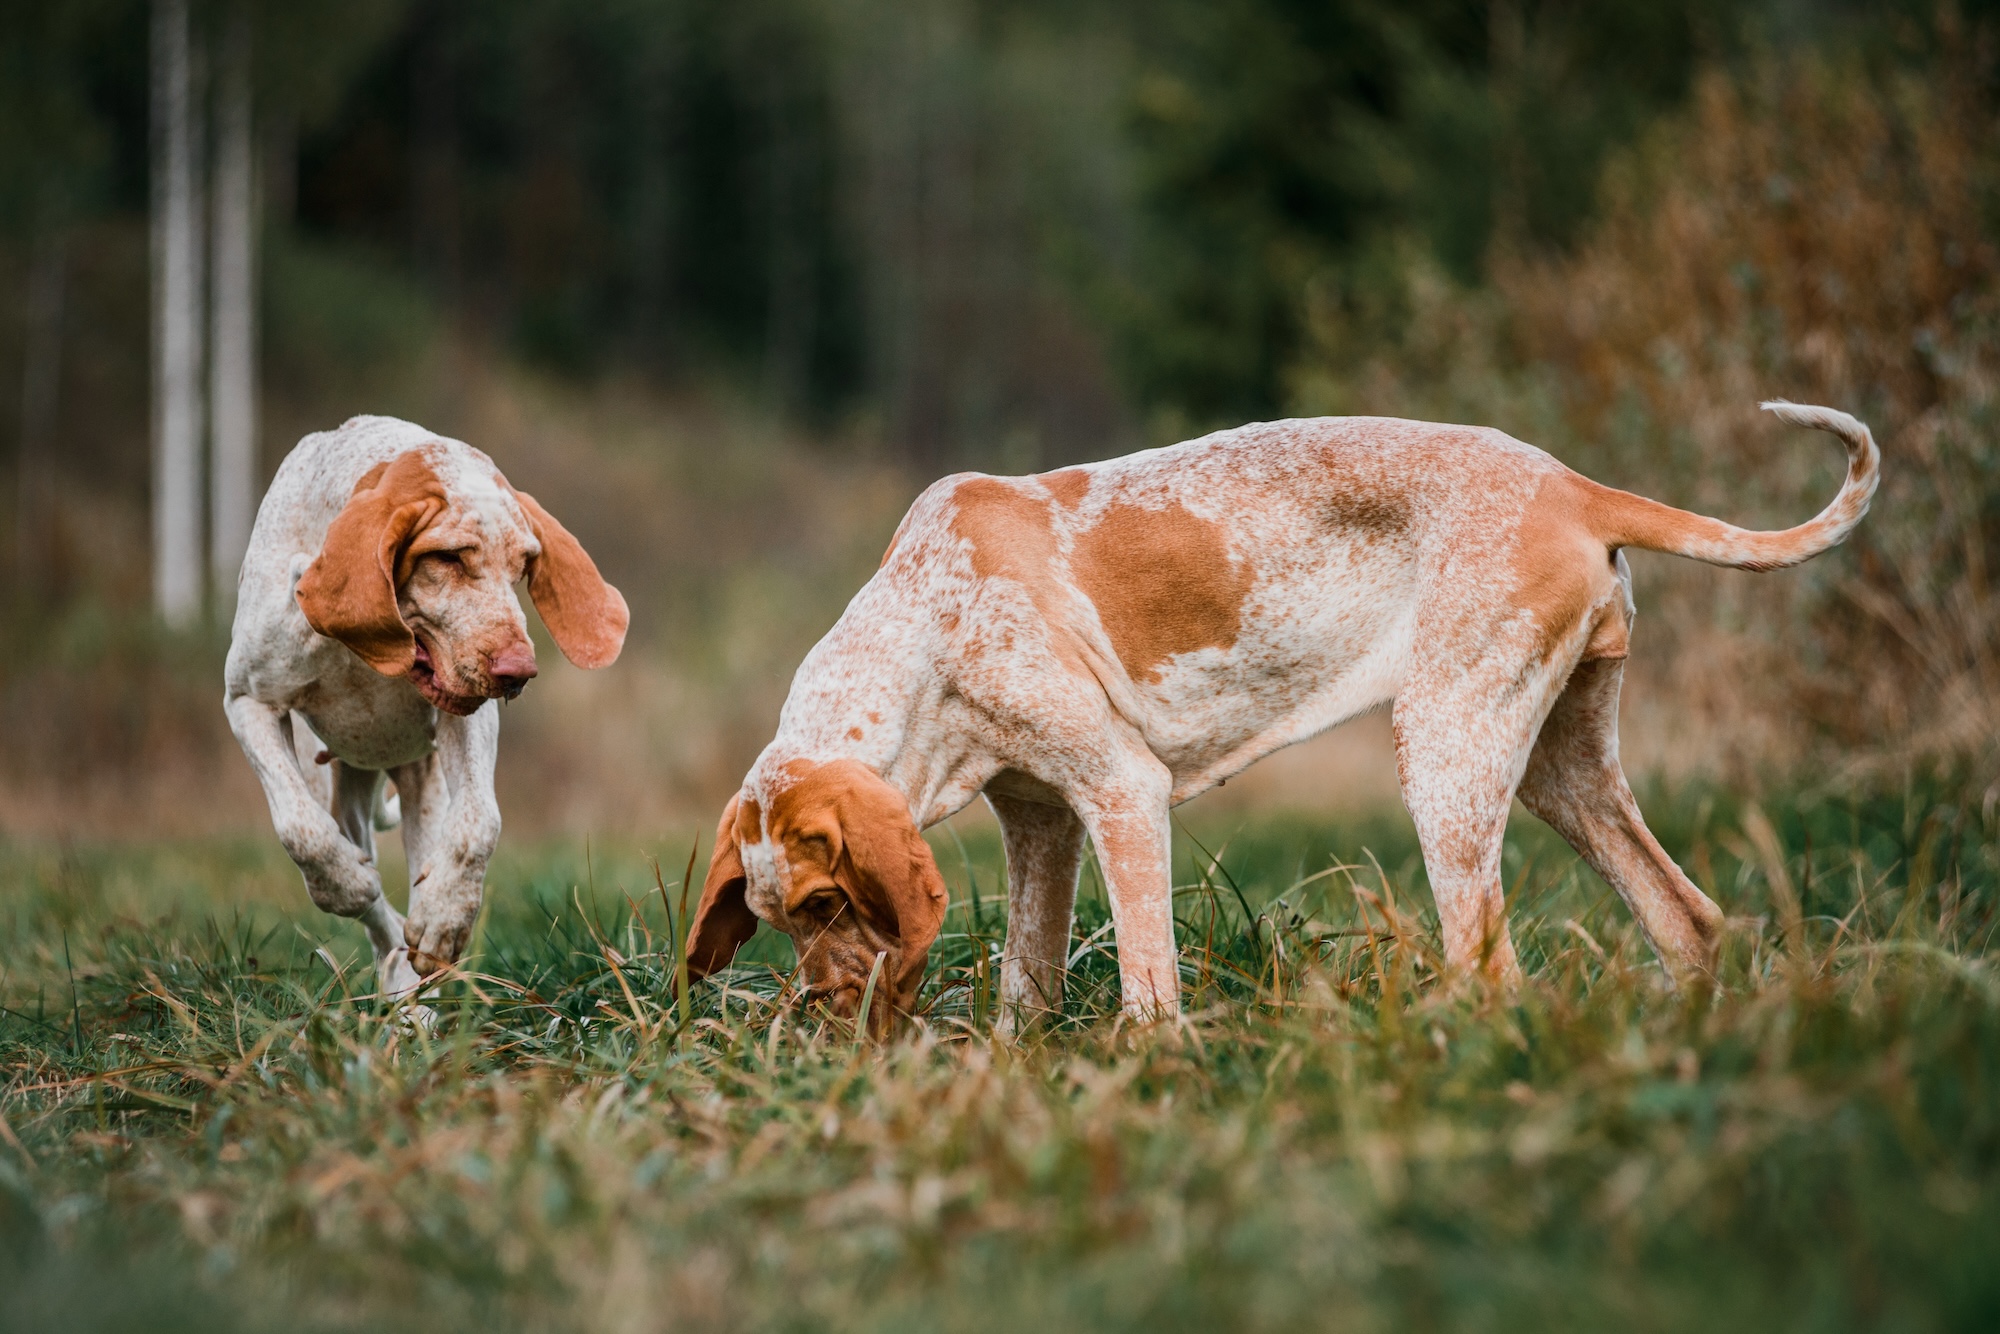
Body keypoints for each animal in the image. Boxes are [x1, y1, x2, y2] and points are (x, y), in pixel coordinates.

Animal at [220, 414, 628, 992]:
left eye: (525, 565)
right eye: (448, 557)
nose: (518, 672)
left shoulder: (467, 717)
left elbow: (480, 824)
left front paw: (443, 921)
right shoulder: (249, 700)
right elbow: (302, 833)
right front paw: (347, 886)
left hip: (421, 786)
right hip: (334, 786)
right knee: (366, 891)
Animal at [688, 402, 1872, 1032]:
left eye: (829, 901)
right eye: (781, 919)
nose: (822, 1018)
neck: (921, 621)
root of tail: (1576, 486)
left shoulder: (1121, 794)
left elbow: (1147, 988)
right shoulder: (1043, 823)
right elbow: (1026, 981)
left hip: (1445, 758)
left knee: (1493, 971)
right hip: (1553, 771)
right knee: (1689, 922)